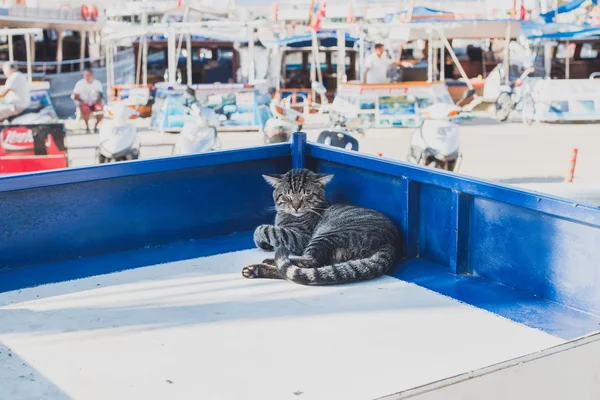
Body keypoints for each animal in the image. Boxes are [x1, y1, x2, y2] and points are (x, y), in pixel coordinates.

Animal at [241, 168, 400, 284]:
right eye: (287, 196)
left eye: (307, 195)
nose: (296, 207)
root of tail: (390, 243)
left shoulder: (299, 237)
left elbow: (265, 229)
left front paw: (261, 240)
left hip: (326, 235)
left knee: (308, 264)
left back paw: (260, 266)